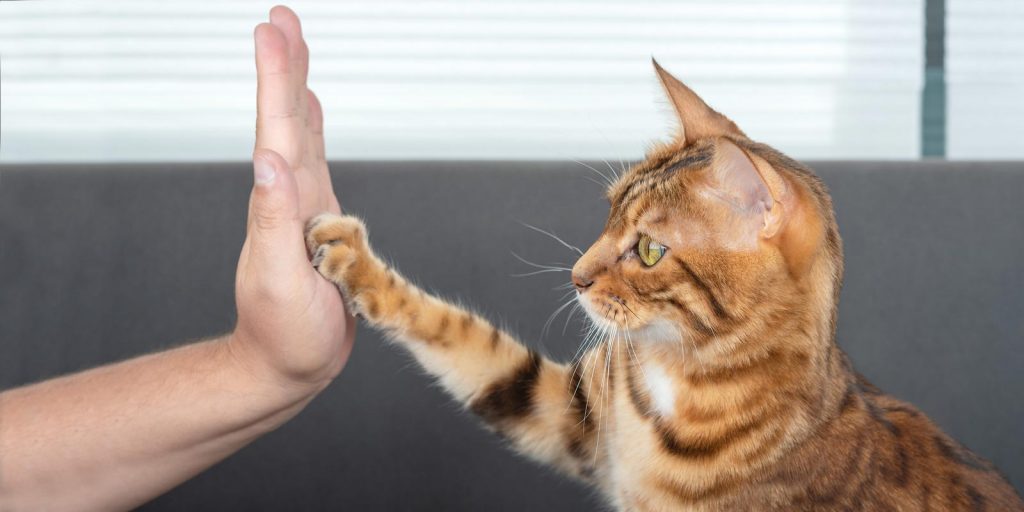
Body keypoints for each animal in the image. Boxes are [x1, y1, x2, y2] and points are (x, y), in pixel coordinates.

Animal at [303, 61, 1024, 509]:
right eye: (608, 212)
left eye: (649, 250)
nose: (576, 276)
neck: (683, 376)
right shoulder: (571, 413)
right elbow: (469, 344)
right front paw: (351, 258)